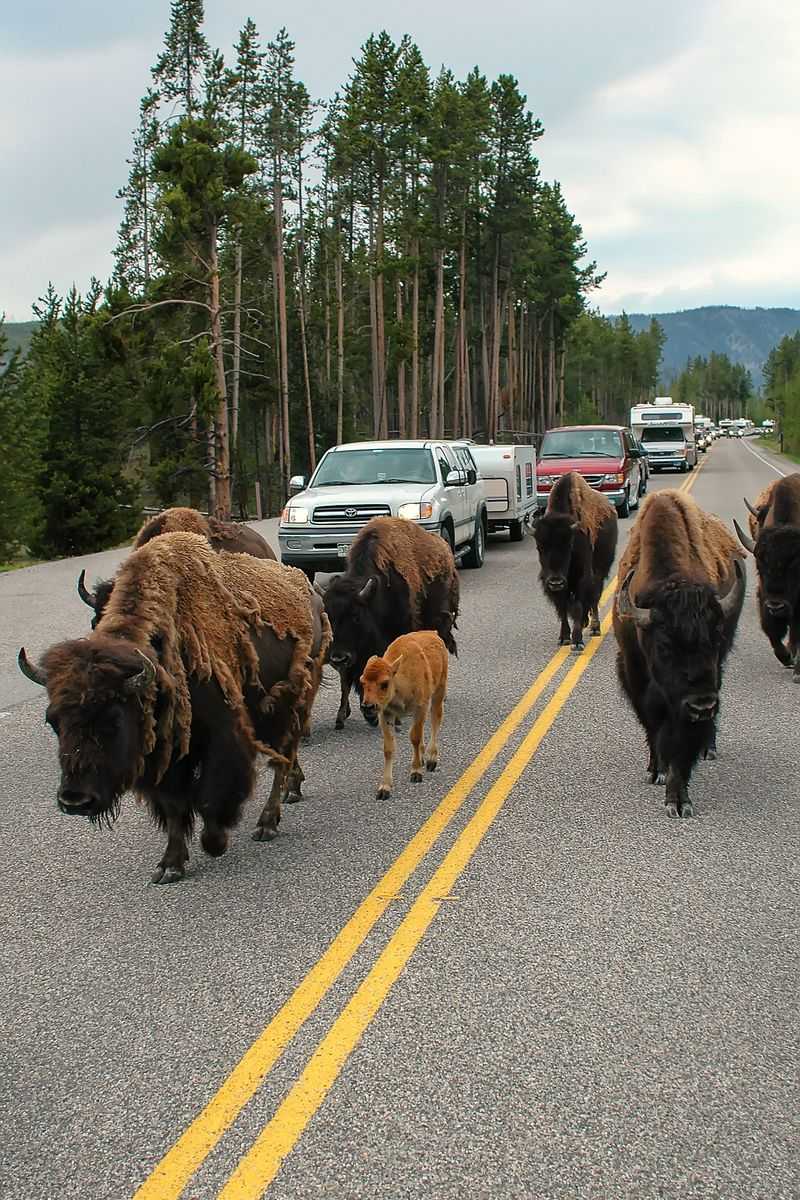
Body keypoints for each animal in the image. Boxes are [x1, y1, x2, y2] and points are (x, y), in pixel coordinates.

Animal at [321, 513, 460, 724]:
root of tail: (444, 549)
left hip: (439, 623)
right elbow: (351, 678)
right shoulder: (356, 653)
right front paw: (352, 714)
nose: (338, 657)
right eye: (328, 619)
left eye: (356, 617)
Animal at [618, 492, 748, 820]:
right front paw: (657, 770)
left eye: (715, 638)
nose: (702, 705)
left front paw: (678, 800)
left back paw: (708, 747)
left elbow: (680, 744)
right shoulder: (635, 678)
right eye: (665, 645)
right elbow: (652, 727)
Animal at [734, 470, 800, 681]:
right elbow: (771, 631)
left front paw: (797, 672)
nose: (776, 606)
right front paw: (786, 657)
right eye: (760, 565)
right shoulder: (763, 595)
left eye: (795, 566)